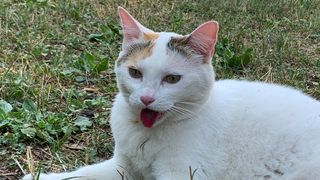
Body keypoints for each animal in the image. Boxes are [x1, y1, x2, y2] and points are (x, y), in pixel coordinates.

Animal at [23, 6, 320, 179]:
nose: (146, 98)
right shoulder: (123, 167)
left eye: (173, 79)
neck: (146, 136)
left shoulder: (182, 173)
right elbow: (83, 174)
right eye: (135, 73)